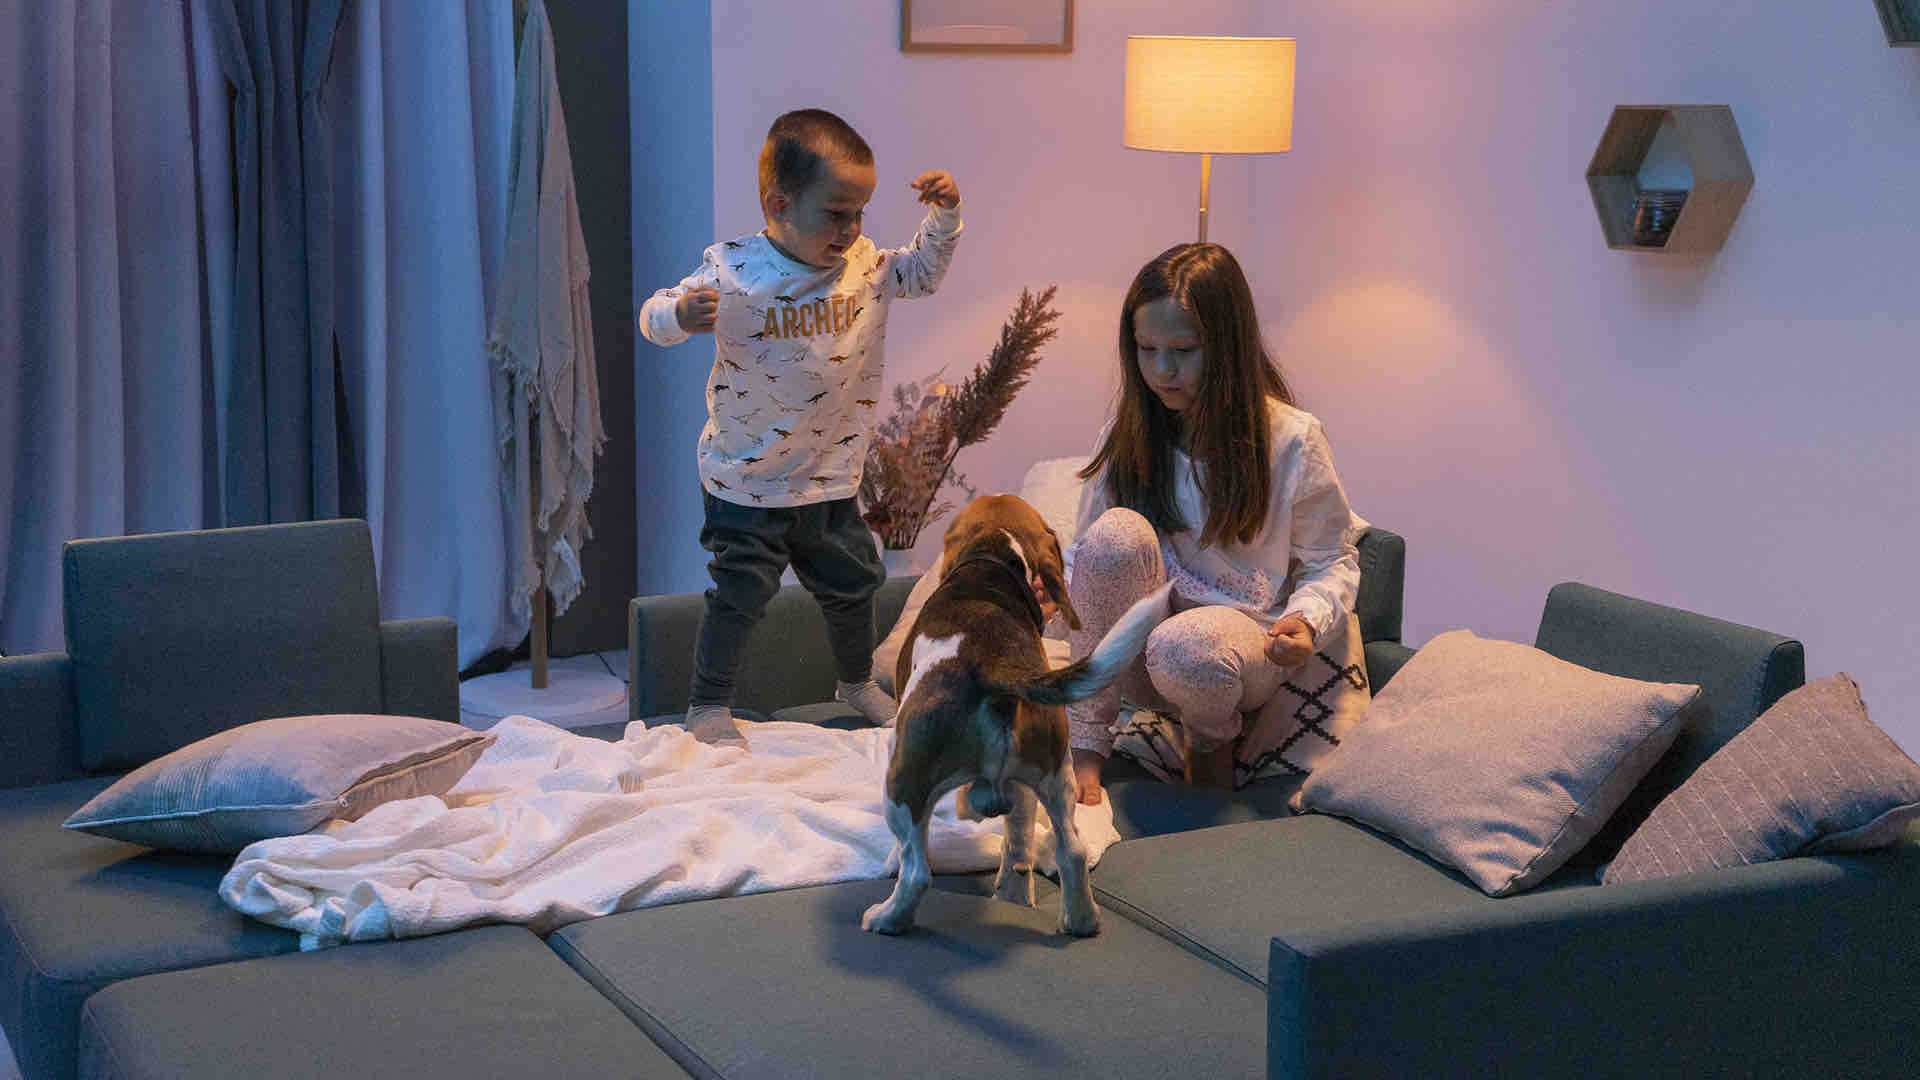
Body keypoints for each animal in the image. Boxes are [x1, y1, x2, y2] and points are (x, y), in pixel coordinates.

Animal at [861, 494, 1171, 936]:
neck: (991, 565)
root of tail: (992, 664)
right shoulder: (1023, 789)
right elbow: (1019, 841)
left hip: (903, 780)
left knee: (917, 871)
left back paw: (887, 917)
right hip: (1058, 776)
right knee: (1072, 851)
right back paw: (1080, 919)